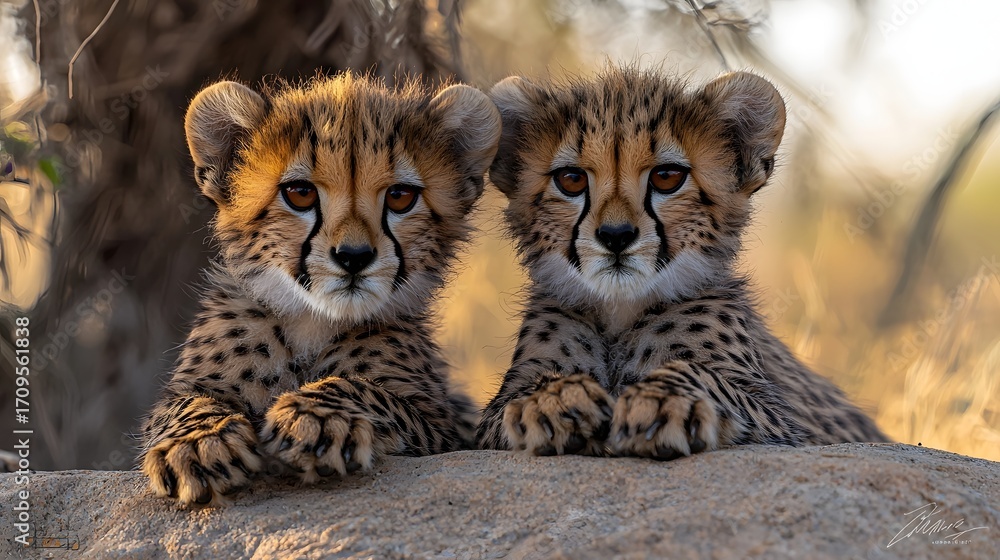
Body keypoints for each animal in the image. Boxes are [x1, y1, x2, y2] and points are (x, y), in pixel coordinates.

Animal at [140, 73, 501, 506]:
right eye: (300, 194)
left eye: (400, 197)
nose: (353, 257)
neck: (313, 321)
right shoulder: (190, 388)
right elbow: (184, 404)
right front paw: (201, 442)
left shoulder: (440, 424)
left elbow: (363, 388)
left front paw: (316, 419)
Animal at [476, 66, 887, 459]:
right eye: (572, 180)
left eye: (667, 177)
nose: (616, 236)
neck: (619, 313)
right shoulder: (491, 419)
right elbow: (519, 395)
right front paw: (554, 399)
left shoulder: (783, 420)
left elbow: (702, 374)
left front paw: (662, 400)